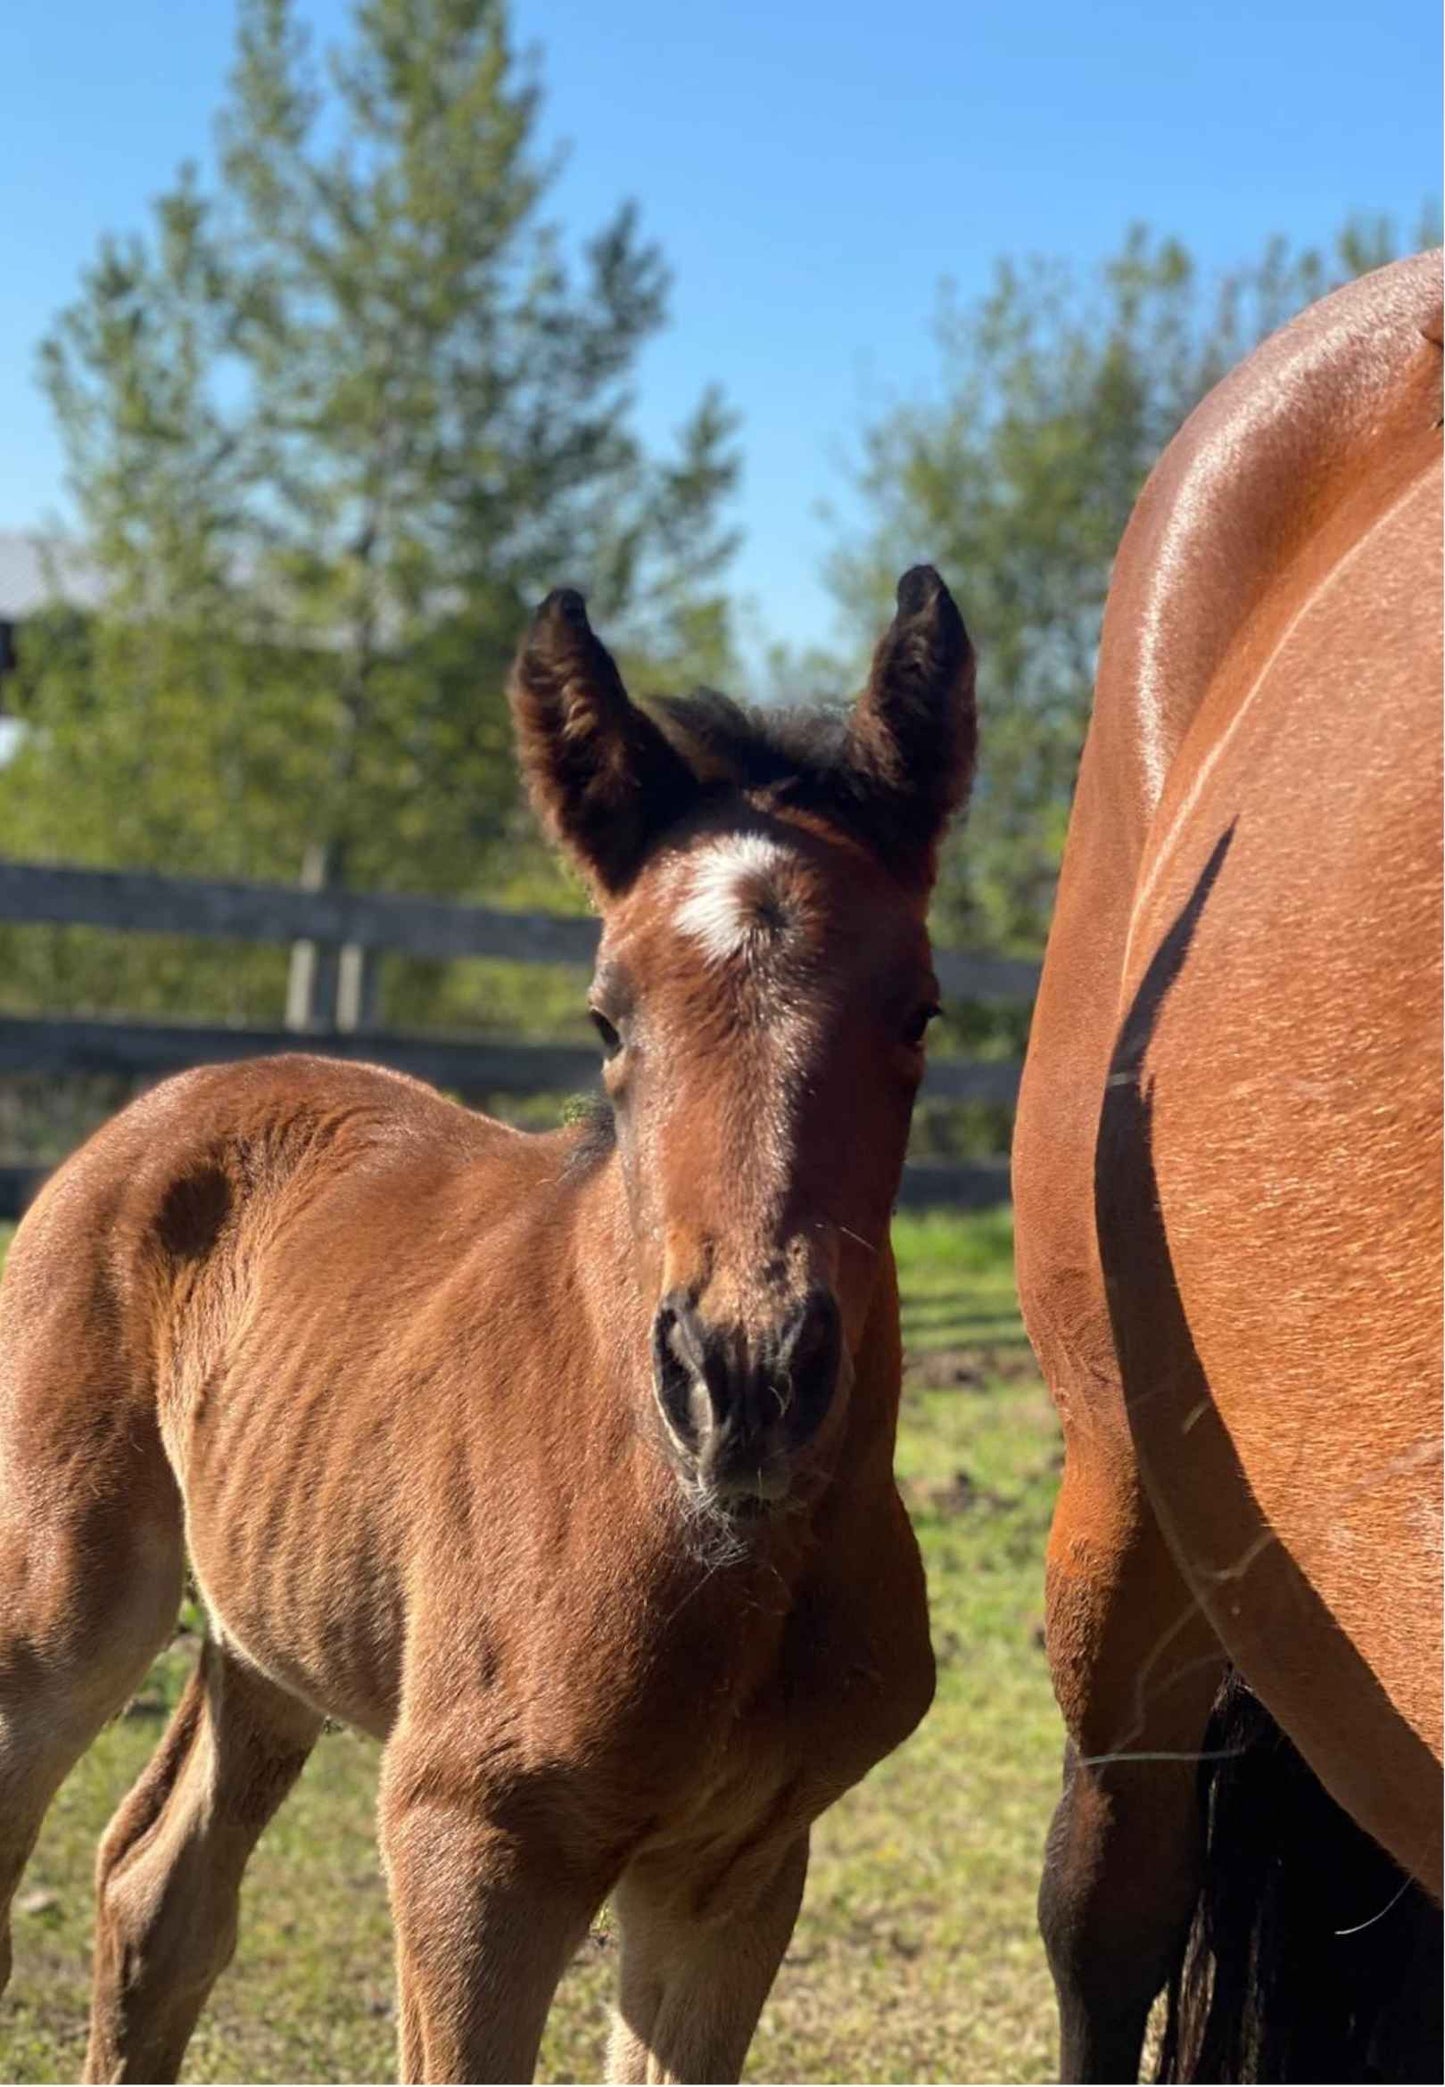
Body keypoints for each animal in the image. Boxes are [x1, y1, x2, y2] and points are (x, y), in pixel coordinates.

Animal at [0, 568, 974, 2084]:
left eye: (919, 1007)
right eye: (605, 1017)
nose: (746, 1382)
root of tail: (171, 1096)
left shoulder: (737, 1864)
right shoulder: (472, 1841)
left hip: (266, 1625)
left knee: (157, 1889)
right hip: (61, 1602)